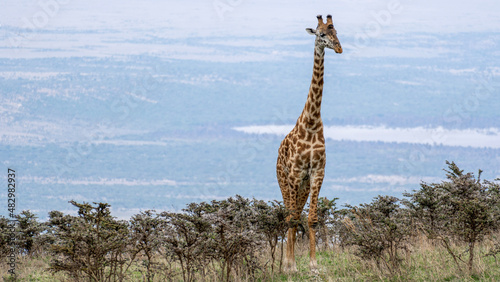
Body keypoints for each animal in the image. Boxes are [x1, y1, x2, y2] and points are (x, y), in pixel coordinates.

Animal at [276, 14, 342, 272]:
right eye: (321, 34)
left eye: (336, 32)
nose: (339, 48)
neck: (312, 122)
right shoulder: (295, 173)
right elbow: (294, 218)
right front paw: (292, 265)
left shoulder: (317, 172)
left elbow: (311, 218)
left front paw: (313, 263)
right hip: (284, 181)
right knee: (288, 215)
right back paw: (286, 262)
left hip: (302, 185)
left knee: (295, 214)